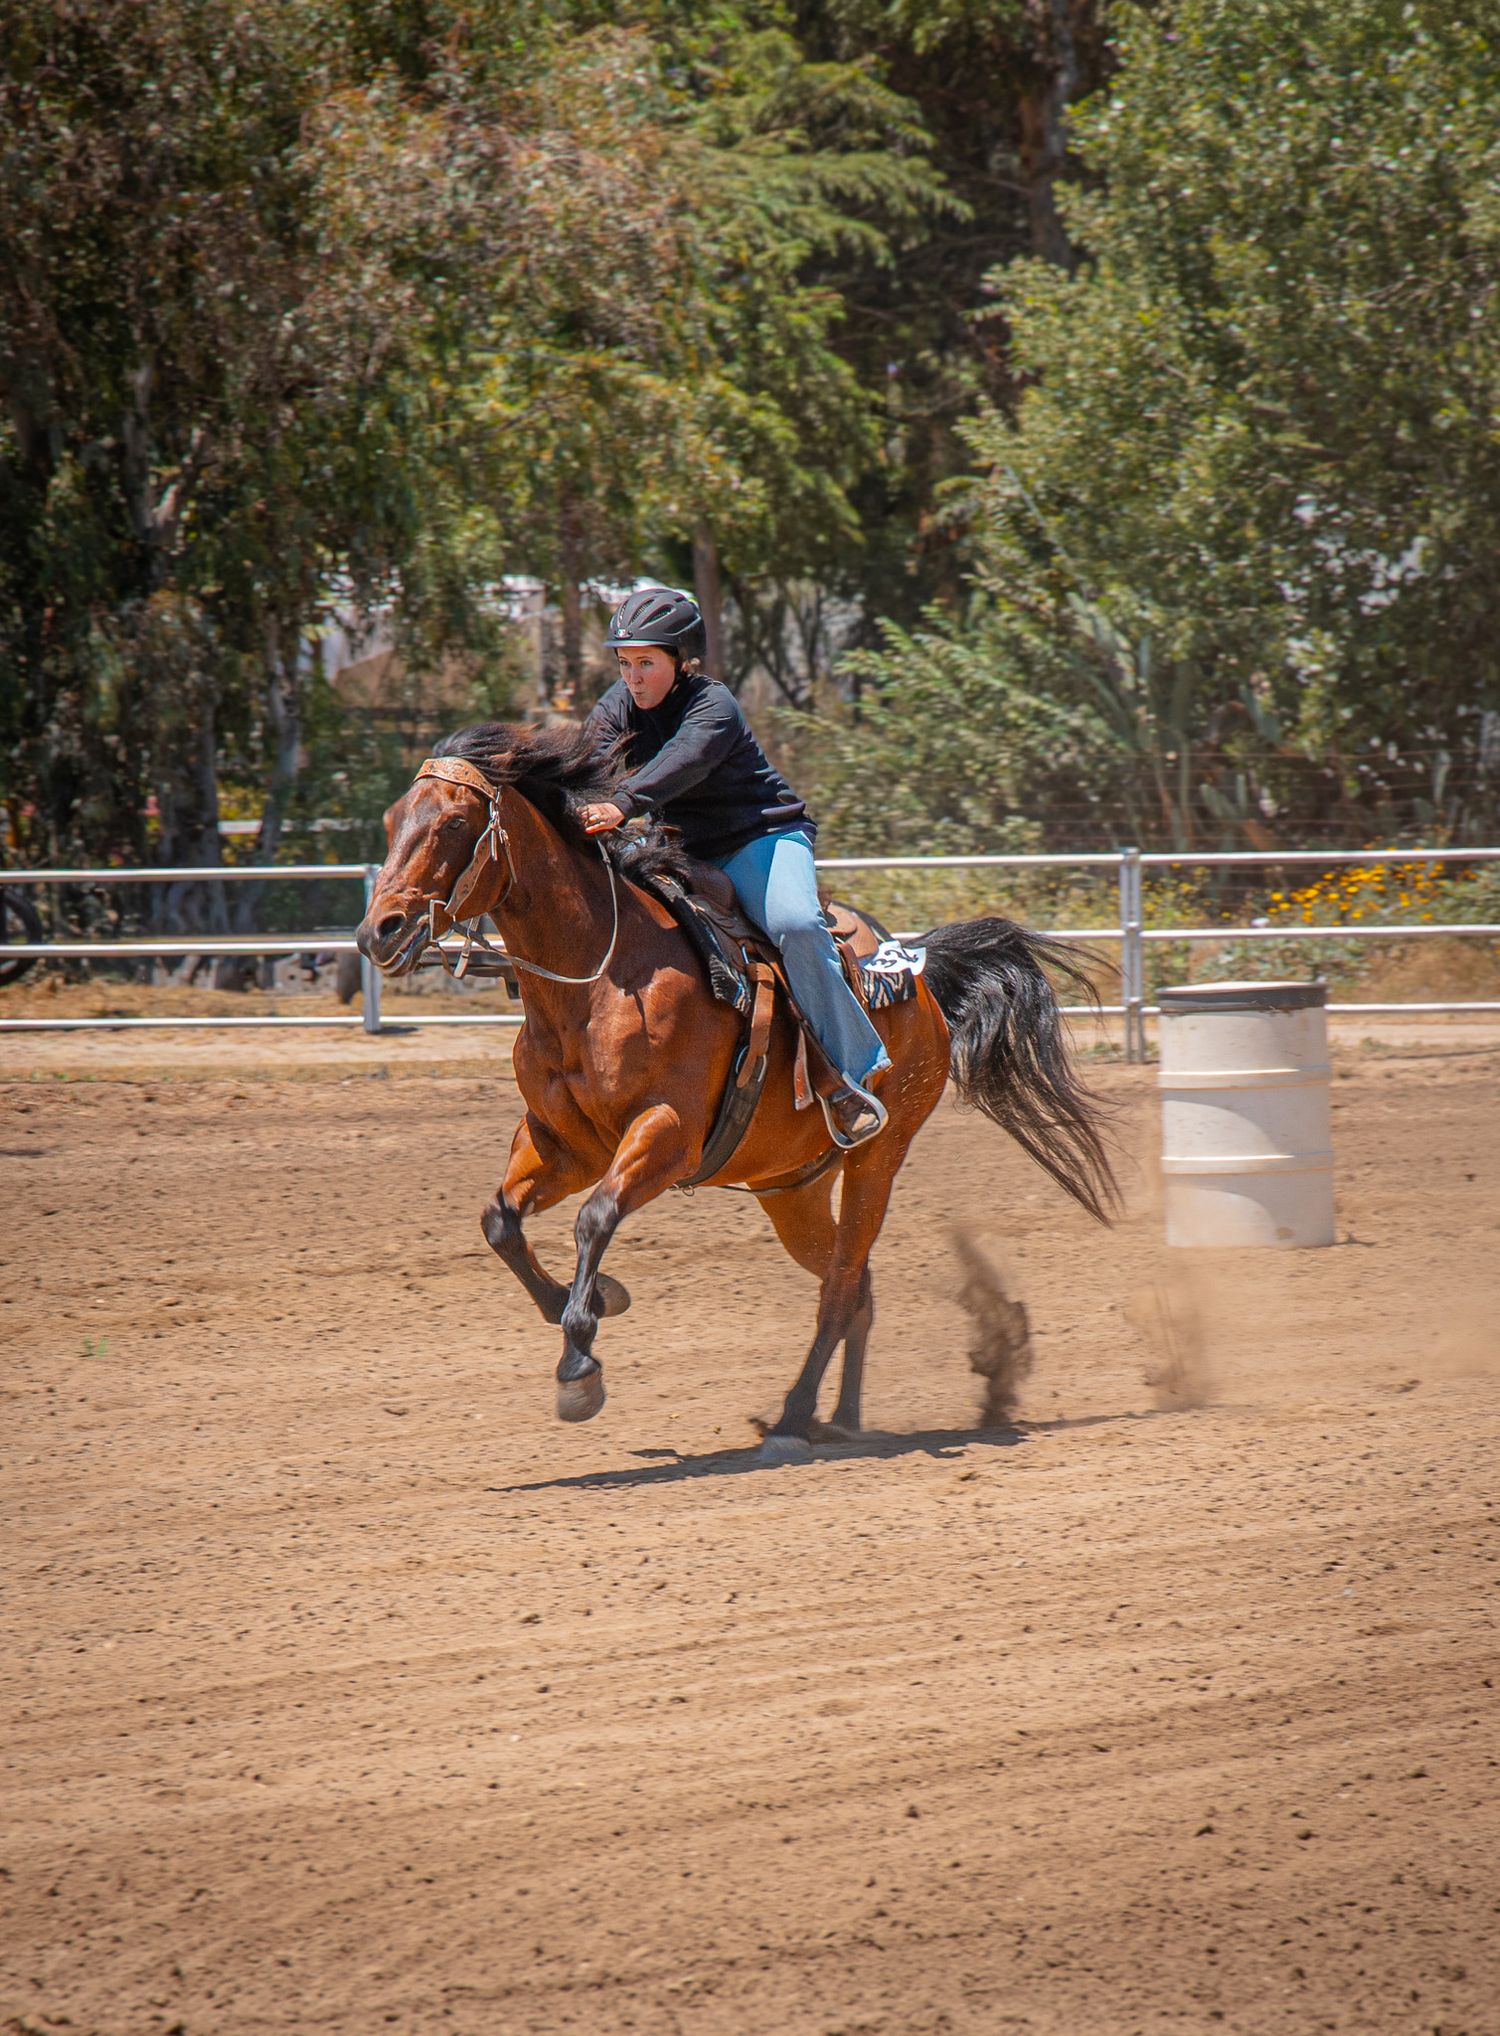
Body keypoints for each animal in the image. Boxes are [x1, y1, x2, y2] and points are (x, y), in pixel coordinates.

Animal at [356, 720, 1117, 1459]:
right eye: (392, 819)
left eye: (455, 823)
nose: (378, 931)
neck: (600, 980)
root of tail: (919, 975)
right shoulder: (560, 1143)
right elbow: (500, 1222)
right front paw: (596, 1299)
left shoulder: (666, 1135)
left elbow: (594, 1219)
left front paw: (580, 1362)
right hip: (791, 1190)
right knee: (855, 1286)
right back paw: (840, 1419)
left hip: (878, 1160)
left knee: (843, 1286)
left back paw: (793, 1419)